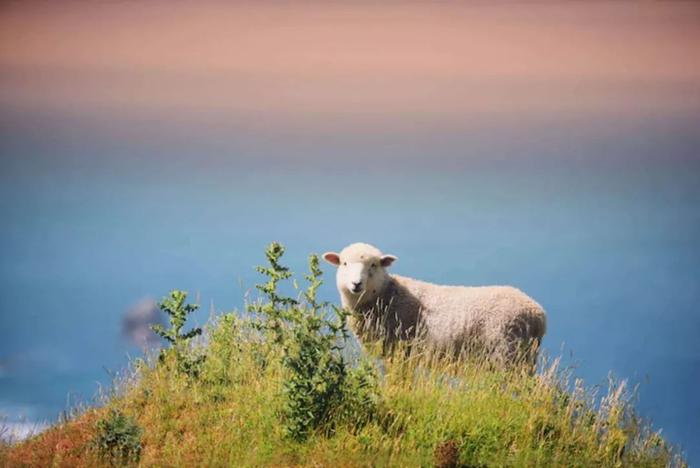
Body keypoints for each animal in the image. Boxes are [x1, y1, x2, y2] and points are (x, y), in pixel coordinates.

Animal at [322, 243, 548, 364]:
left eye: (373, 265)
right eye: (344, 263)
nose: (356, 284)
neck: (386, 296)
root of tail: (538, 314)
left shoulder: (402, 351)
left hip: (506, 352)